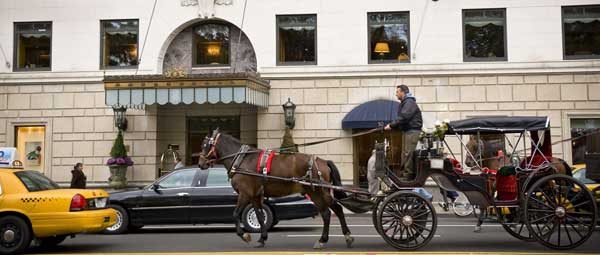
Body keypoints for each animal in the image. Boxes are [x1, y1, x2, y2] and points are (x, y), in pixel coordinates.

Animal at [197, 128, 356, 248]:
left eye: (205, 145)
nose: (200, 163)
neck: (241, 160)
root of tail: (322, 161)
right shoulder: (255, 196)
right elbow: (259, 216)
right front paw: (262, 239)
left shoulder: (244, 194)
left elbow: (235, 214)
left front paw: (245, 235)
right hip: (321, 192)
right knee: (336, 210)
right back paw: (346, 236)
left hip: (317, 192)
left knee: (328, 213)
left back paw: (323, 240)